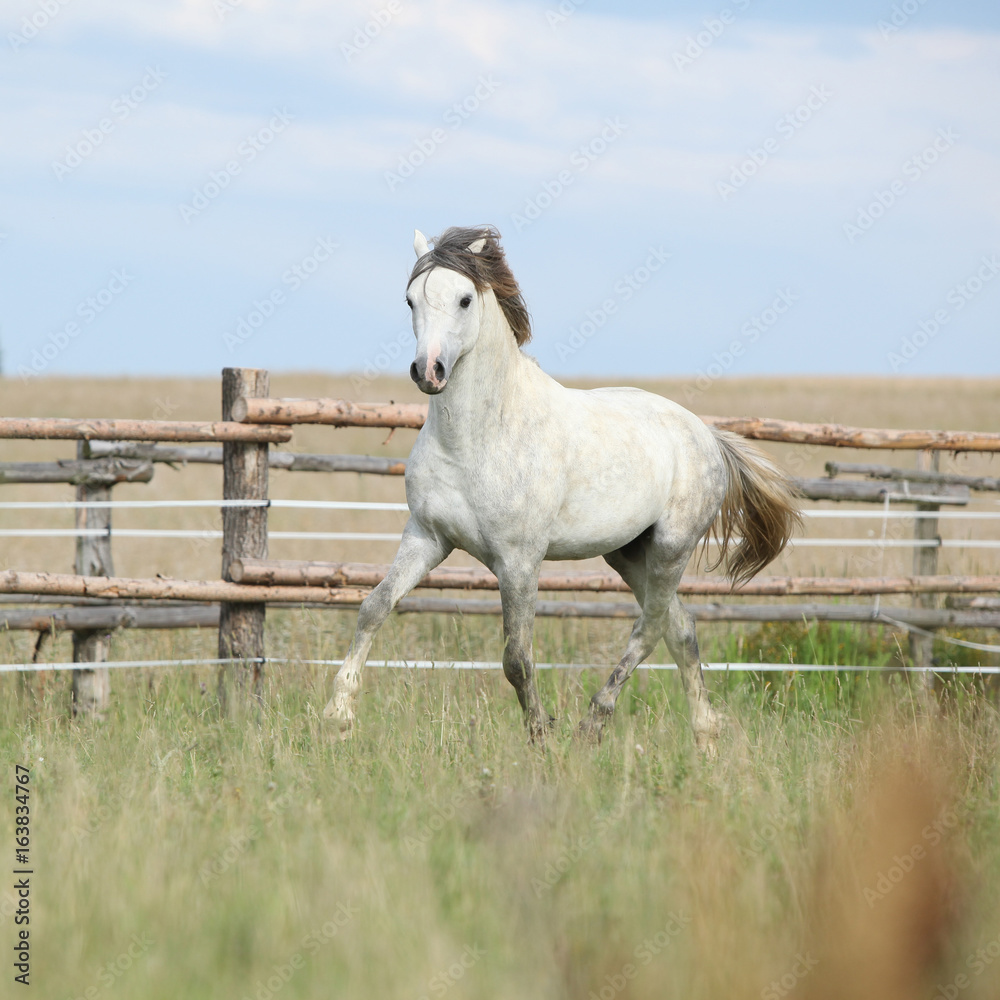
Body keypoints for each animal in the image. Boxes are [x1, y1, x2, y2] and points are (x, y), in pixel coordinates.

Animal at [325, 225, 800, 752]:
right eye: (410, 300)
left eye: (465, 299)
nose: (428, 371)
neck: (476, 438)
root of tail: (708, 435)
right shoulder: (427, 538)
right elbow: (373, 608)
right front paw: (338, 716)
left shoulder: (518, 560)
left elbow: (516, 657)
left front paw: (541, 736)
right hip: (628, 554)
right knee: (681, 628)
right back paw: (705, 740)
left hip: (671, 549)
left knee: (651, 628)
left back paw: (594, 723)